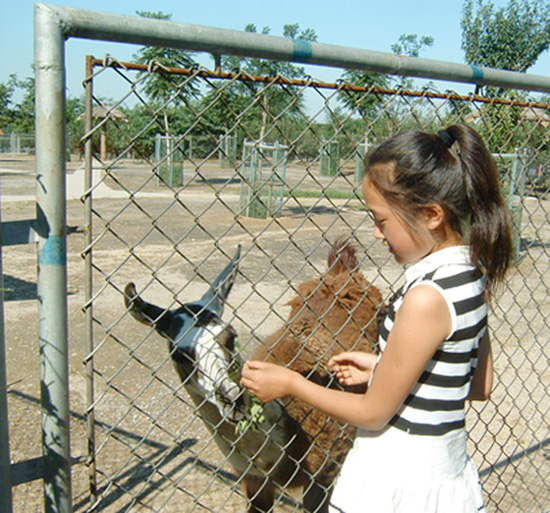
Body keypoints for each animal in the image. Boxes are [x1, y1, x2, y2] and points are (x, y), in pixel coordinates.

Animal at [125, 240, 384, 512]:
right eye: (179, 355)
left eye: (230, 336)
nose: (232, 398)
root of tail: (341, 272)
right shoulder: (254, 481)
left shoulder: (324, 472)